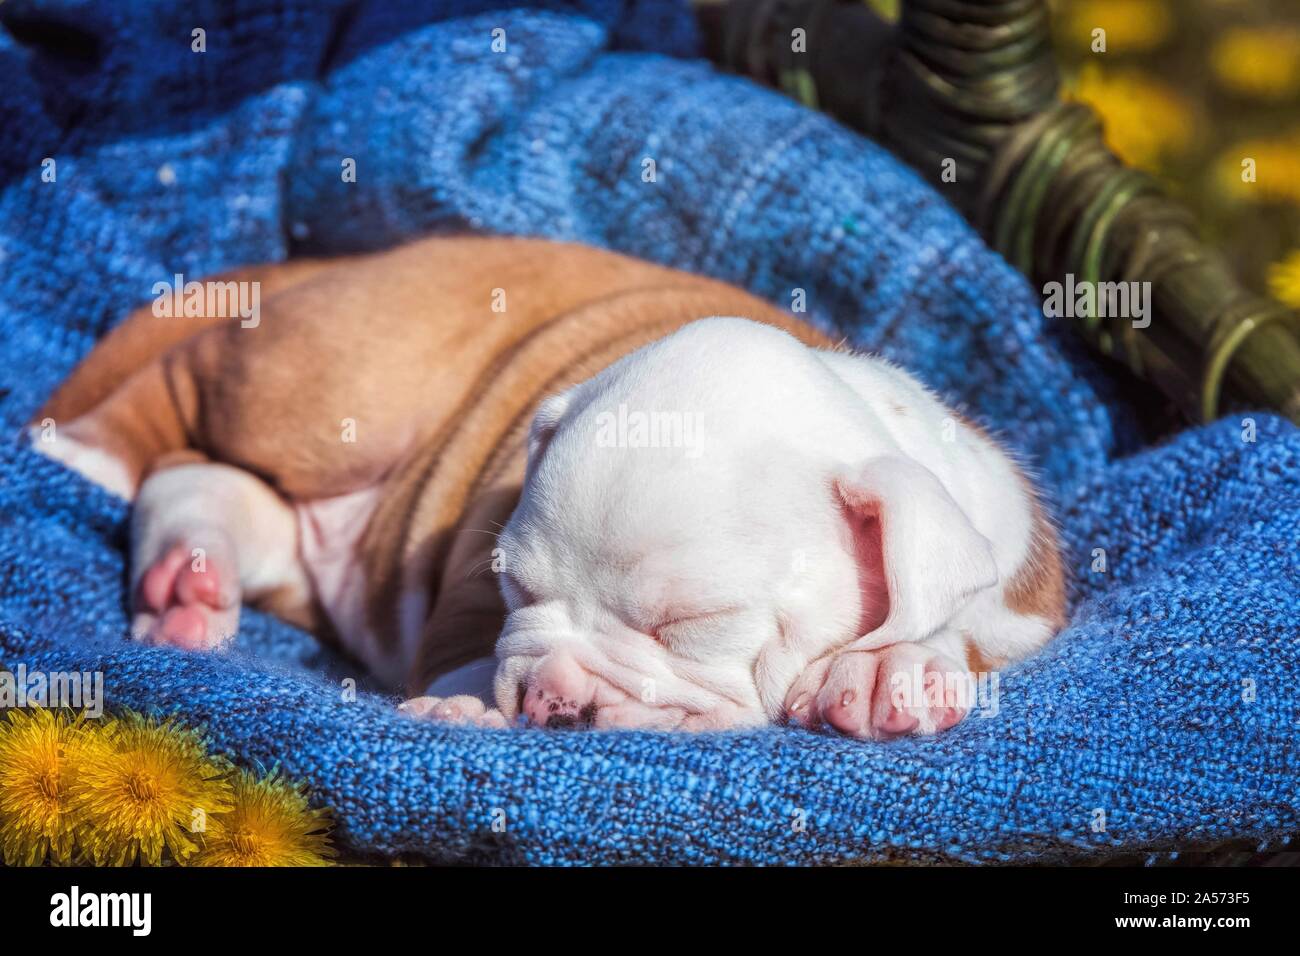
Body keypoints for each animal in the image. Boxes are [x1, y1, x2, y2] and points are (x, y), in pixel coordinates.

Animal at [32, 235, 1066, 738]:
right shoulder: (464, 574)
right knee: (182, 397)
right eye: (516, 588)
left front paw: (897, 666)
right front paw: (465, 703)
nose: (551, 699)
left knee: (219, 491)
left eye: (691, 626)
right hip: (340, 383)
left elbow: (956, 630)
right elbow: (456, 649)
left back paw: (187, 581)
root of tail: (351, 259)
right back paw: (82, 455)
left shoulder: (1018, 597)